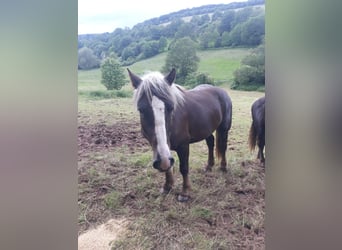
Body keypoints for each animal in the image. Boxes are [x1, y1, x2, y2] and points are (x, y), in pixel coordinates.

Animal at [127, 68, 232, 201]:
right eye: (141, 110)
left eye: (171, 107)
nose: (161, 161)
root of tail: (221, 91)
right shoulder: (164, 149)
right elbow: (168, 167)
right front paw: (167, 186)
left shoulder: (183, 146)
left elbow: (184, 168)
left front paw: (185, 192)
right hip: (206, 129)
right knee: (210, 143)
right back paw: (209, 166)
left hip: (224, 128)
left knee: (223, 146)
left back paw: (223, 167)